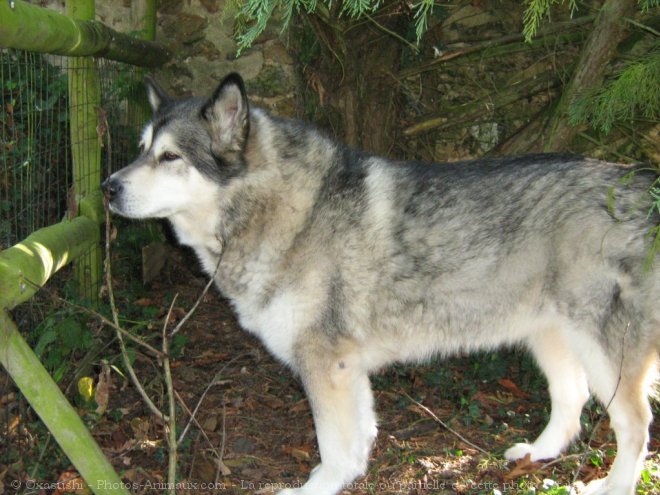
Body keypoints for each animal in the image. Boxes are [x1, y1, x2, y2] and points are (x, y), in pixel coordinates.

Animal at [100, 73, 656, 495]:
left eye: (170, 157)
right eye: (142, 150)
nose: (107, 187)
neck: (286, 210)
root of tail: (641, 184)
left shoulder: (325, 363)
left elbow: (331, 444)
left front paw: (317, 488)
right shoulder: (348, 368)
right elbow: (355, 439)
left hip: (604, 353)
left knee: (635, 425)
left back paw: (613, 485)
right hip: (551, 338)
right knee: (572, 402)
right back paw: (536, 454)